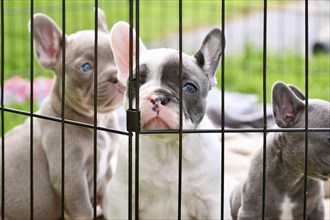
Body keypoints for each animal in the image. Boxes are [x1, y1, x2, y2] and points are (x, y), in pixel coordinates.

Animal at [0, 8, 124, 218]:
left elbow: (110, 205)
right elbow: (83, 210)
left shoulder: (106, 175)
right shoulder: (72, 177)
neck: (98, 120)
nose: (116, 75)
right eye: (86, 67)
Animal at [104, 21, 231, 220]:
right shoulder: (122, 196)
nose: (158, 97)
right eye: (135, 81)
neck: (168, 149)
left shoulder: (213, 201)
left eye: (190, 88)